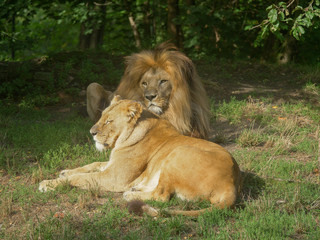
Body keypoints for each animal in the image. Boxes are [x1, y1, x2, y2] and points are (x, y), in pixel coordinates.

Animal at [38, 96, 240, 218]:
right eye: (101, 116)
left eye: (109, 121)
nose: (92, 132)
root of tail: (231, 183)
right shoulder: (111, 166)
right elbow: (91, 165)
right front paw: (65, 171)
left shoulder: (115, 178)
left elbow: (80, 178)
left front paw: (49, 183)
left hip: (178, 153)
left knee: (162, 196)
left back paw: (130, 195)